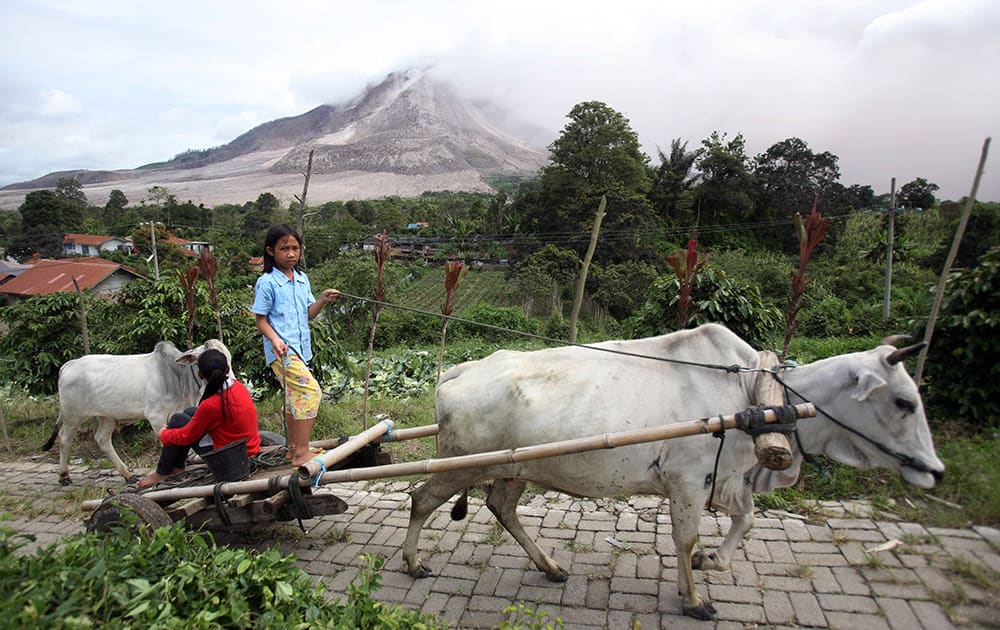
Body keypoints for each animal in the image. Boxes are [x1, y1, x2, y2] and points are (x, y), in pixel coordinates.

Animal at [44, 340, 231, 484]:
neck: (176, 376)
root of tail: (69, 364)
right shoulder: (156, 417)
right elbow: (165, 441)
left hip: (106, 417)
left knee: (102, 440)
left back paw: (128, 475)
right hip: (73, 416)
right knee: (65, 439)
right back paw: (64, 476)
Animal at [402, 326, 940, 624]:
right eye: (903, 401)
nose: (934, 470)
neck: (754, 398)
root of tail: (456, 373)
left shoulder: (726, 478)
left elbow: (743, 521)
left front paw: (711, 562)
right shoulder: (689, 480)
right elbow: (684, 539)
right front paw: (695, 598)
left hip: (515, 468)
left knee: (501, 507)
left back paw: (551, 567)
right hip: (460, 465)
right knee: (421, 499)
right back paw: (412, 562)